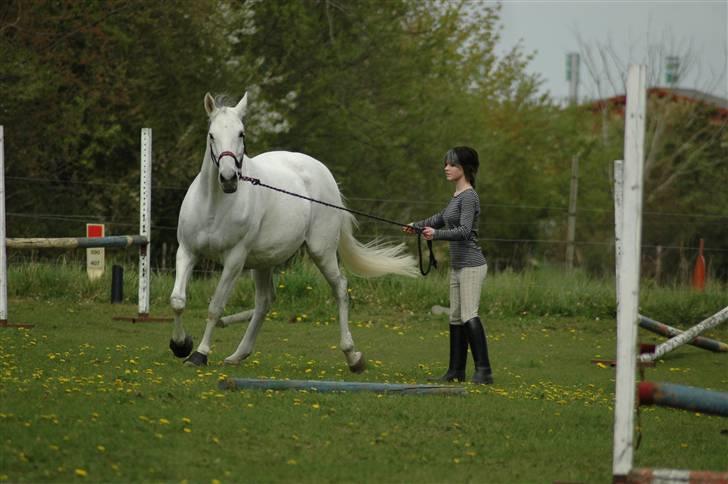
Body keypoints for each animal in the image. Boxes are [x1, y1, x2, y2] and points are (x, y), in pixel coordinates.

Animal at [171, 91, 418, 370]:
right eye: (211, 134)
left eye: (241, 134)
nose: (228, 178)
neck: (214, 204)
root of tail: (323, 173)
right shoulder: (187, 251)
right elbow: (178, 301)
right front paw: (180, 345)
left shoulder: (234, 260)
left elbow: (215, 307)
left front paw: (199, 354)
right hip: (262, 261)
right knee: (264, 302)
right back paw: (238, 354)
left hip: (320, 251)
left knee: (340, 288)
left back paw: (352, 355)